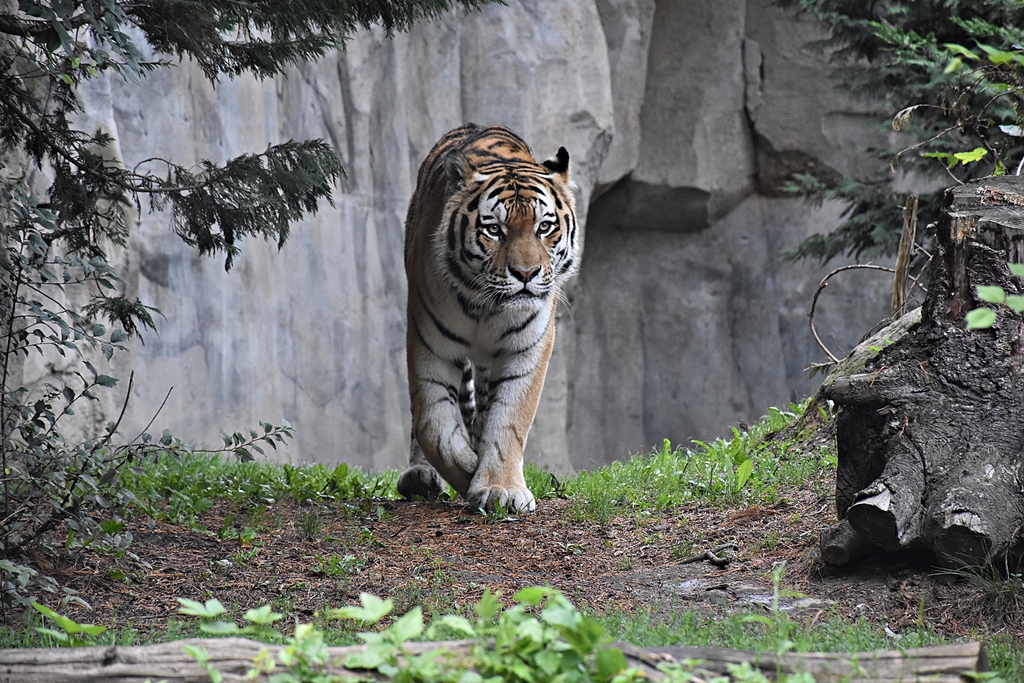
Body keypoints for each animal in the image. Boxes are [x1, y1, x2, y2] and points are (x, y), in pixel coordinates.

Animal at [396, 123, 579, 513]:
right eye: (494, 230)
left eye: (544, 227)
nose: (526, 273)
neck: (487, 306)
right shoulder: (430, 345)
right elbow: (432, 424)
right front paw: (468, 470)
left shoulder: (527, 347)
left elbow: (509, 418)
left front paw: (500, 486)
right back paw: (421, 476)